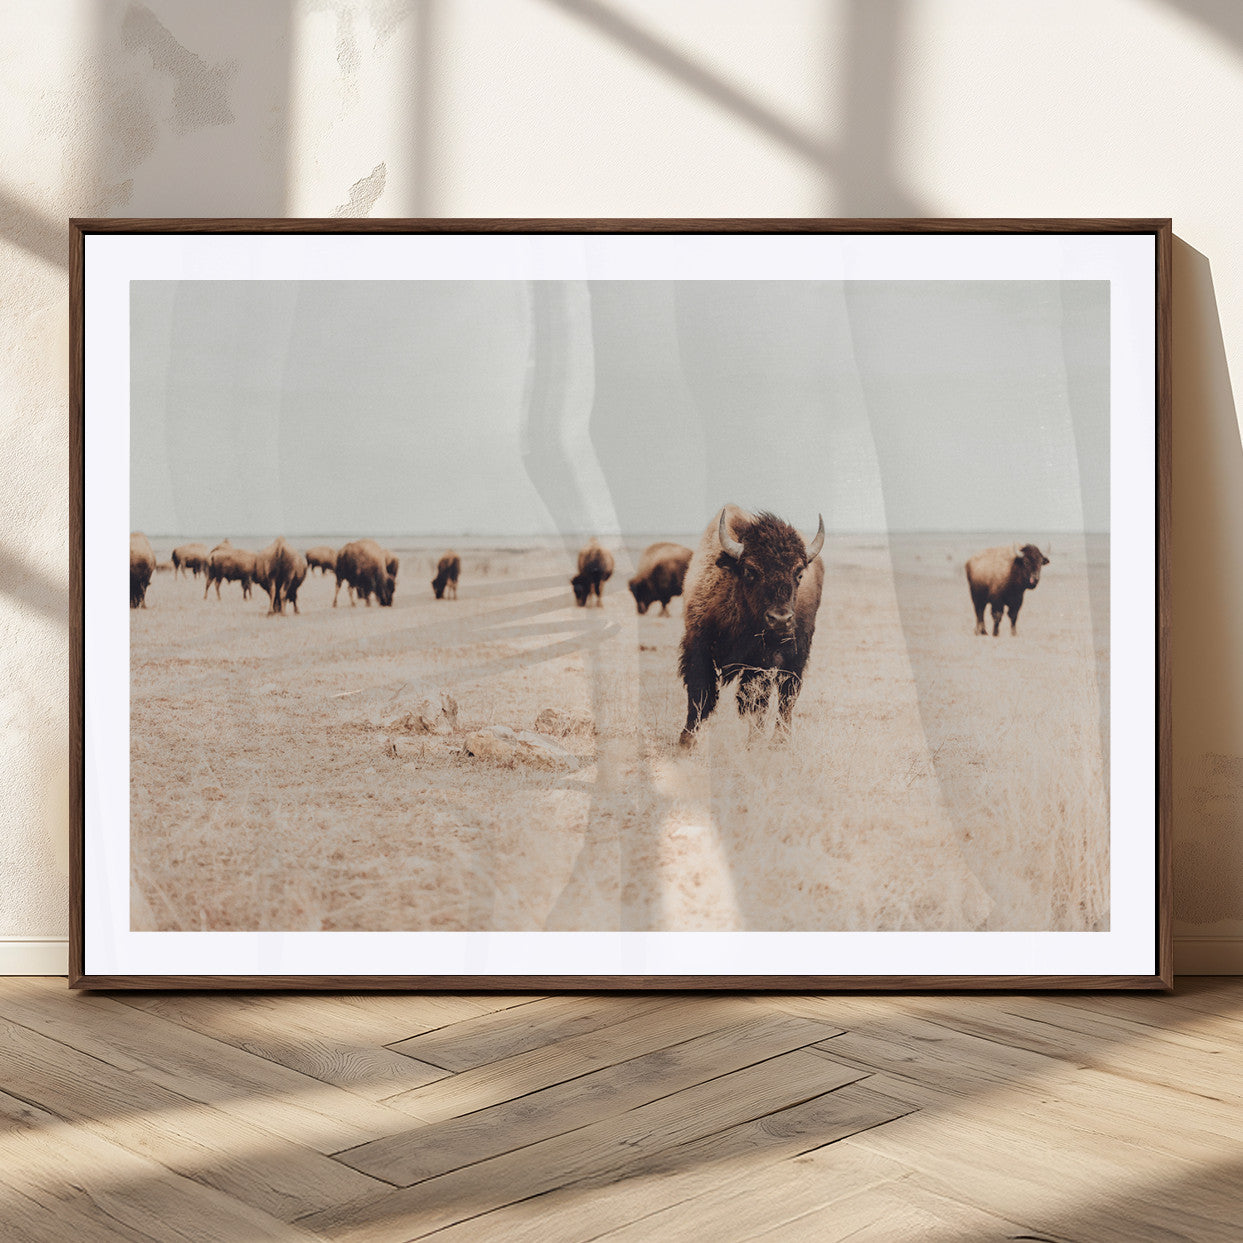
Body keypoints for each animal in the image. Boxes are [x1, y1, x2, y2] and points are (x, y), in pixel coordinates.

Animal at [678, 505, 825, 747]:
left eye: (799, 573)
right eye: (750, 571)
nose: (781, 619)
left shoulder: (761, 661)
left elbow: (755, 701)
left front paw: (754, 742)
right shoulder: (698, 647)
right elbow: (699, 694)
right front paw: (687, 741)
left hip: (798, 654)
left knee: (787, 695)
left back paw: (780, 739)